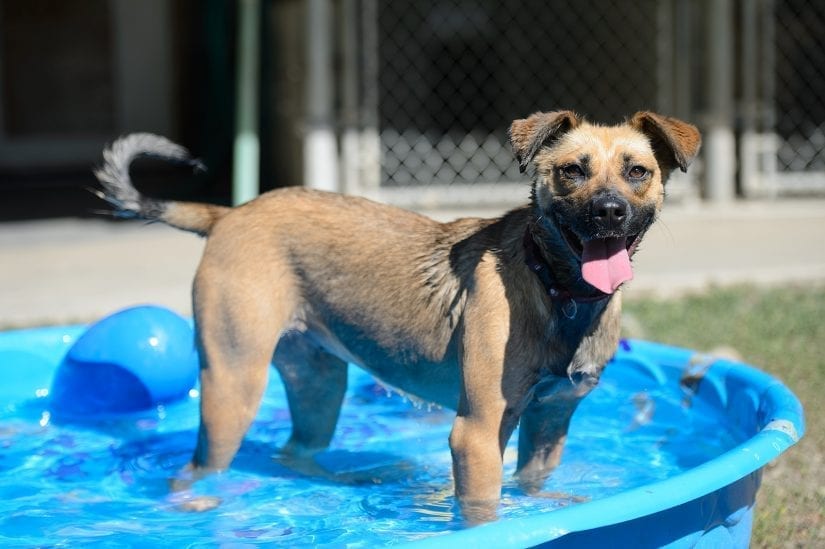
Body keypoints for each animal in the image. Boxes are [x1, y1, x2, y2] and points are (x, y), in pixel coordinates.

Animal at [96, 110, 700, 520]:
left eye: (637, 172)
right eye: (573, 171)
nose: (609, 212)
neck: (557, 291)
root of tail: (229, 214)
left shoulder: (550, 422)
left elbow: (530, 484)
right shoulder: (477, 434)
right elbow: (483, 511)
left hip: (318, 385)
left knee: (295, 450)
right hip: (232, 386)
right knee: (192, 471)